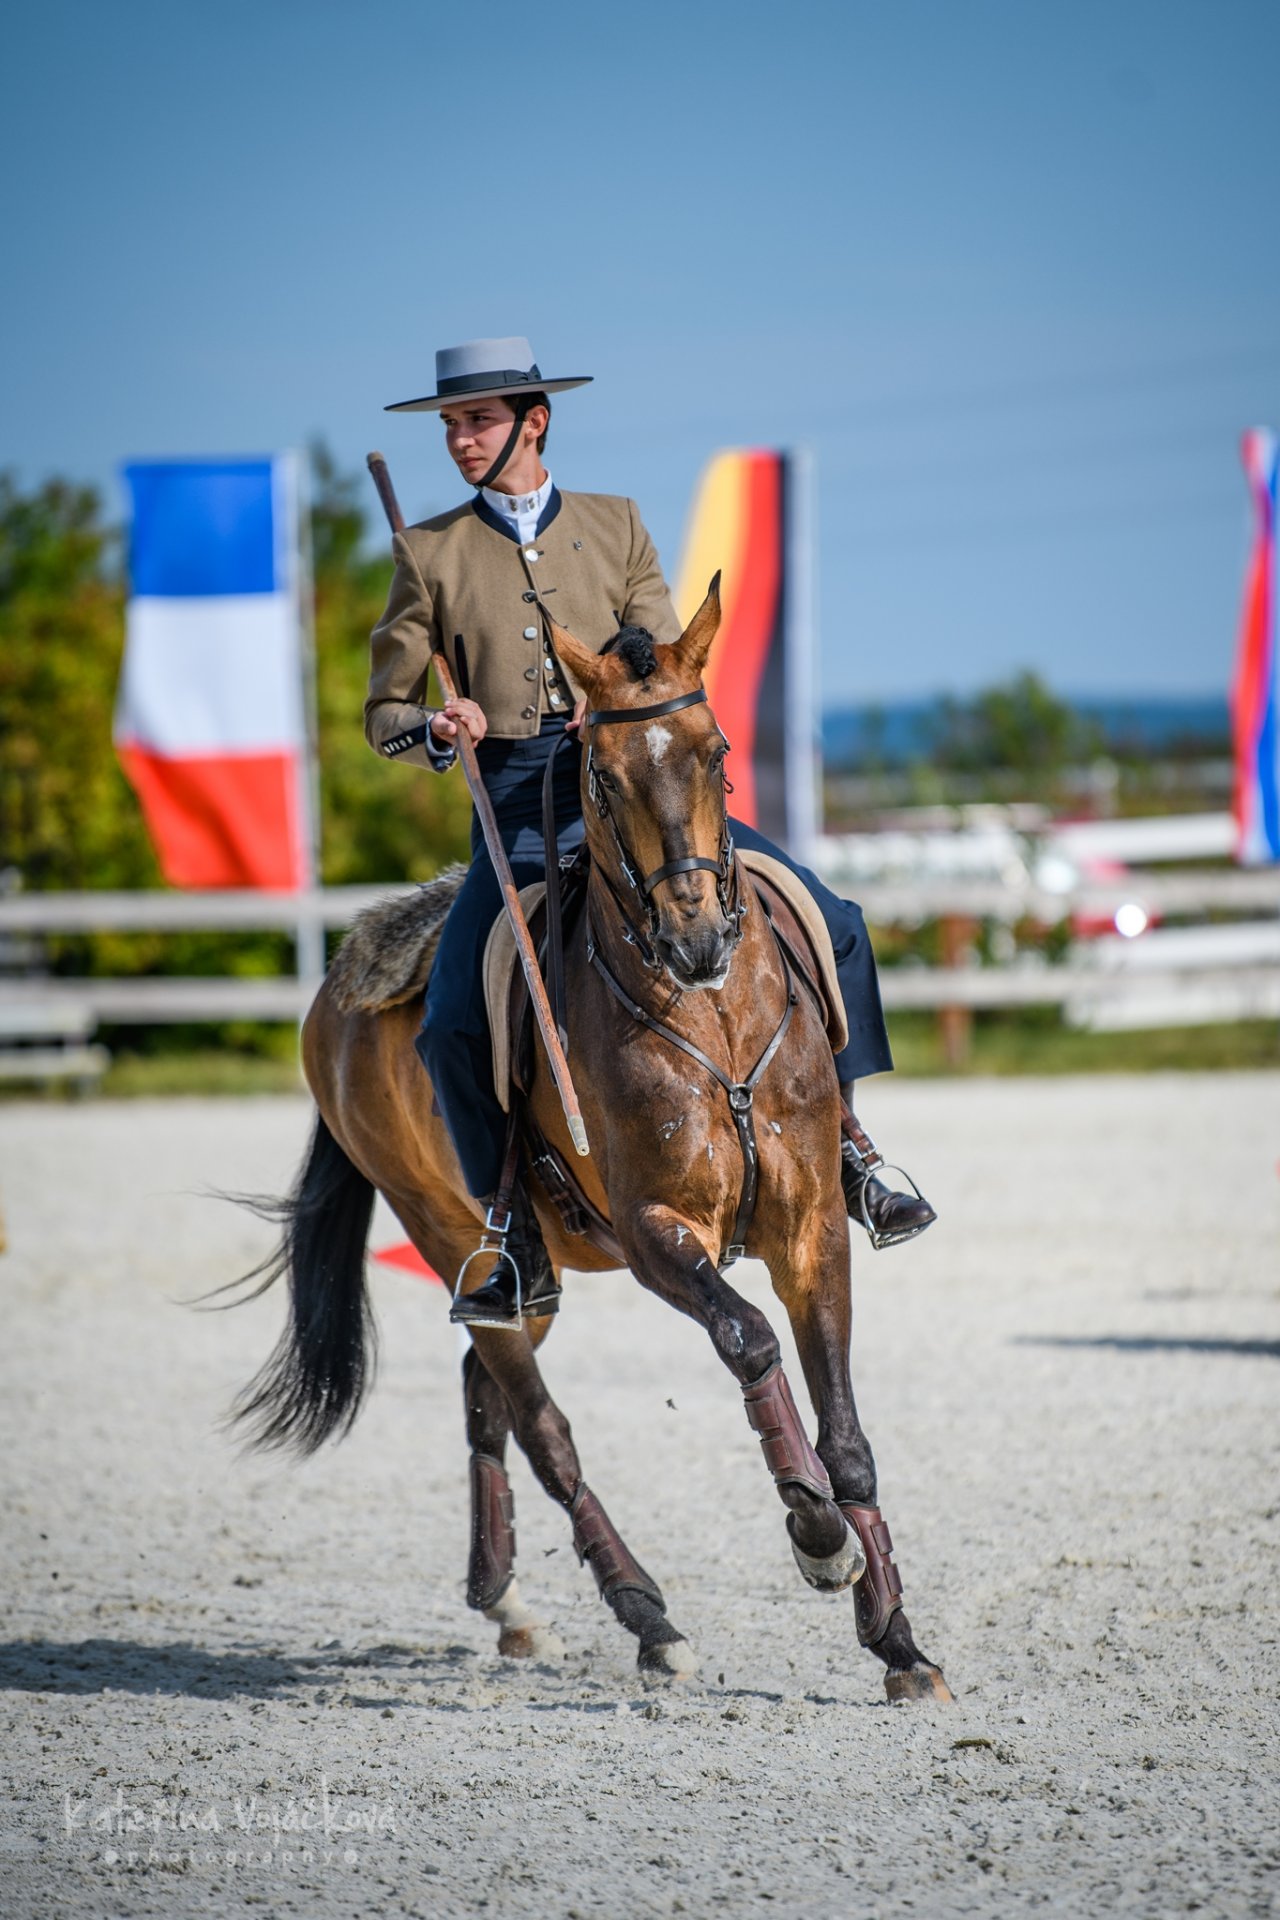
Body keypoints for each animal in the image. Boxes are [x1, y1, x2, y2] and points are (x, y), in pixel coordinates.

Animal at [227, 583, 951, 1712]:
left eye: (714, 747)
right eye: (600, 774)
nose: (696, 941)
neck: (709, 1019)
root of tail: (334, 986)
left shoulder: (812, 1232)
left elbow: (848, 1433)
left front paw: (897, 1641)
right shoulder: (658, 1234)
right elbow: (748, 1341)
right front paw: (818, 1537)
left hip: (532, 1277)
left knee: (485, 1396)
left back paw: (508, 1606)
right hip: (455, 1240)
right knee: (540, 1427)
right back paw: (647, 1619)